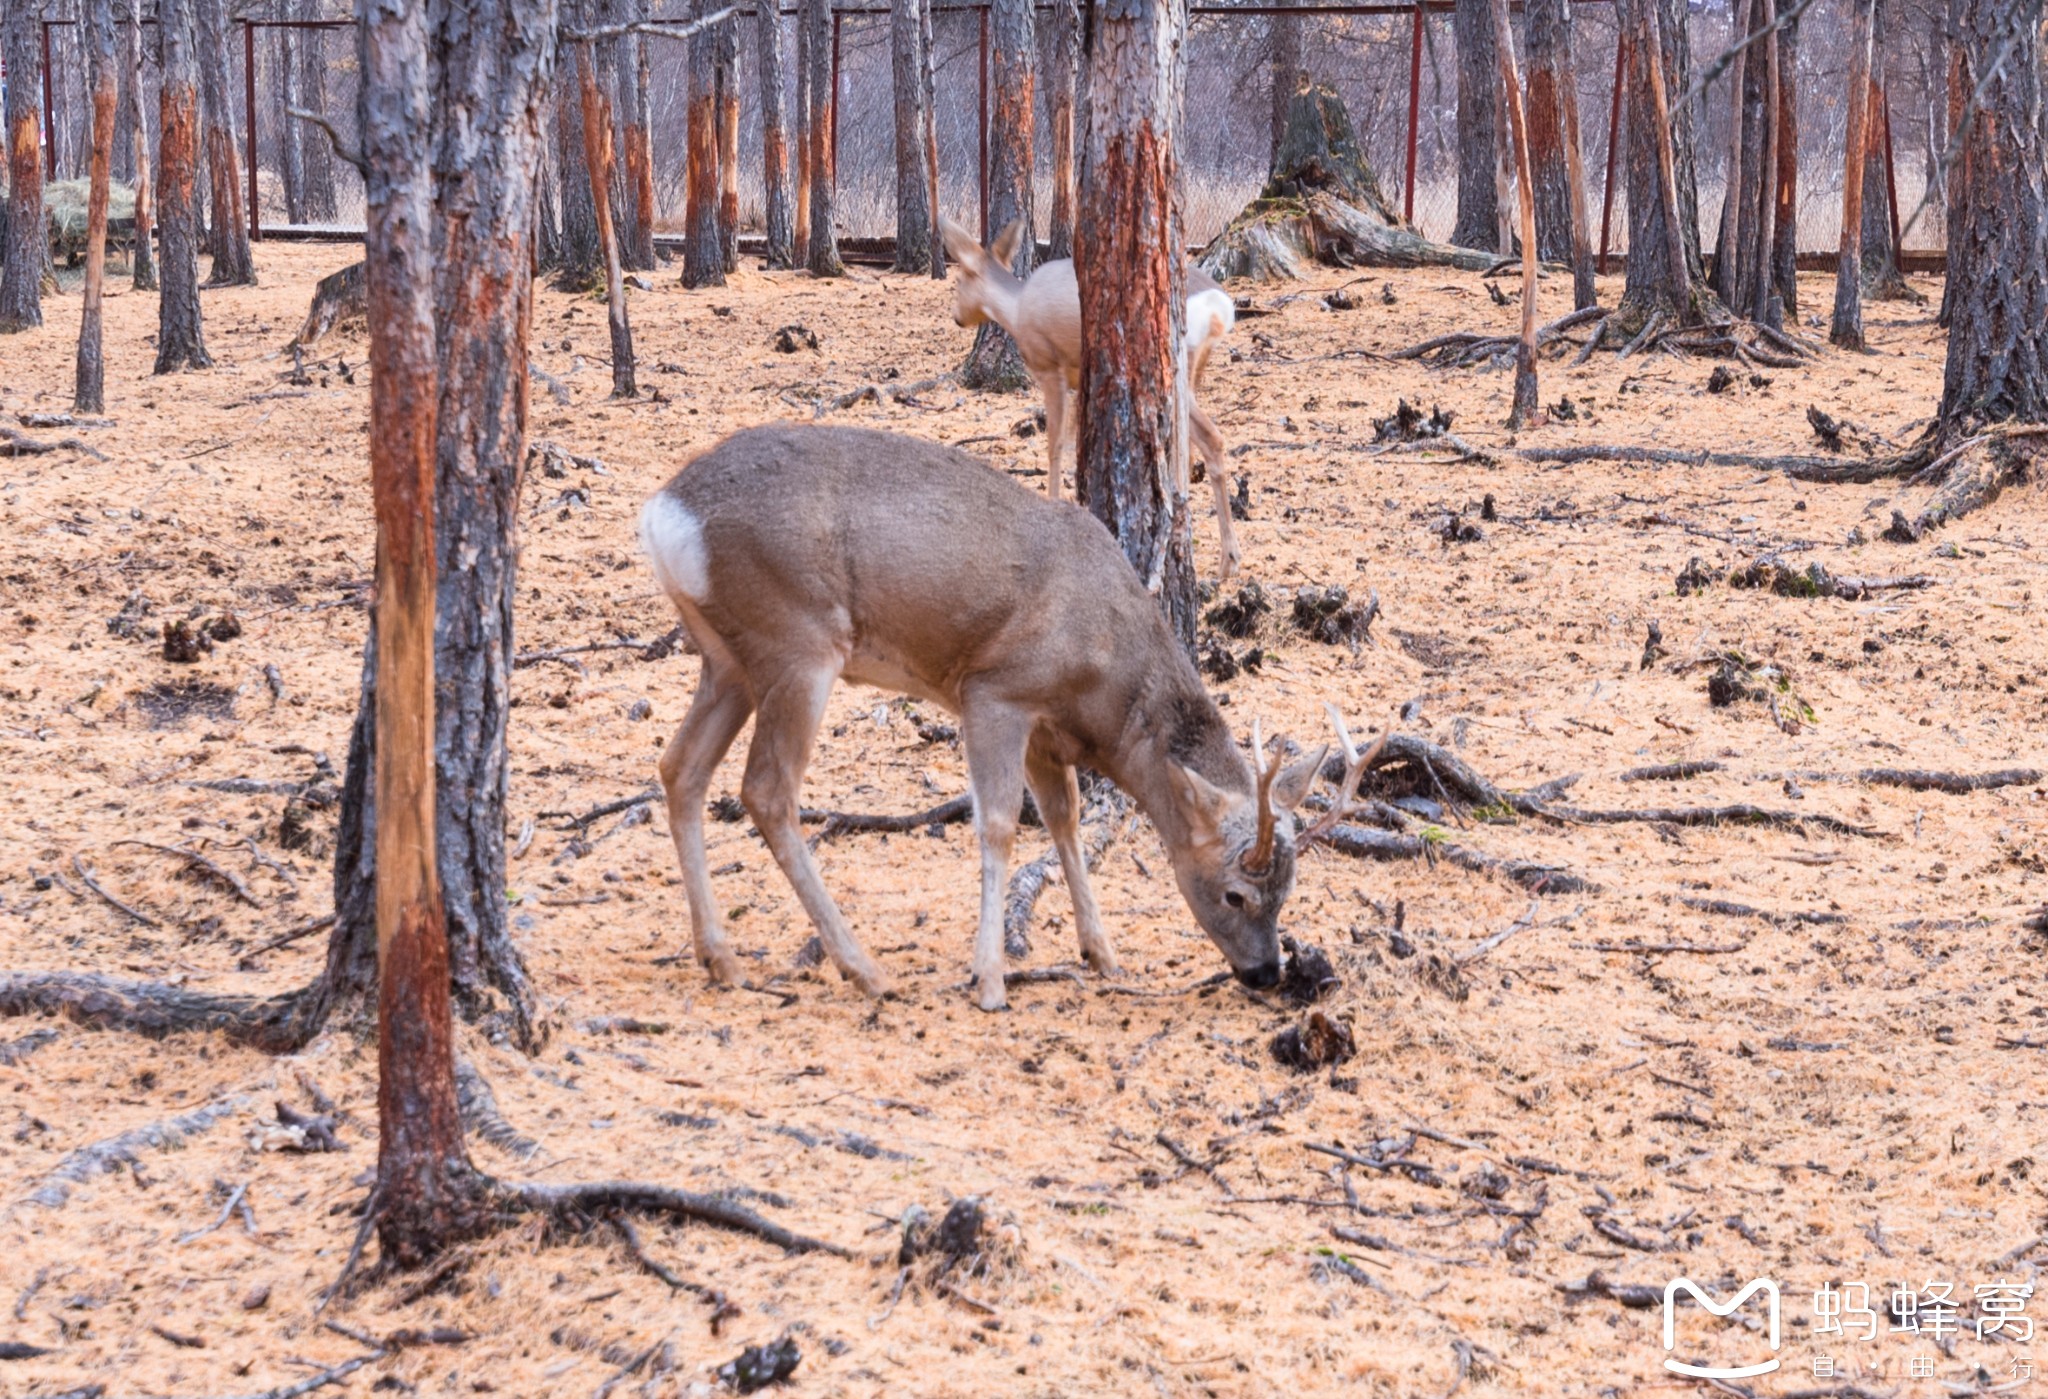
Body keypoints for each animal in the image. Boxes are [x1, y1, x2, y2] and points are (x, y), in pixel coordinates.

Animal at [643, 424, 1376, 1007]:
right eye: (1234, 895)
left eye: (1289, 892)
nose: (1267, 973)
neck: (1107, 686)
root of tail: (662, 514)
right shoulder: (996, 691)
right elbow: (996, 825)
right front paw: (990, 978)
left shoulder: (1047, 733)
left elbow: (1064, 822)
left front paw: (1101, 953)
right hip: (796, 640)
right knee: (766, 790)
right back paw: (863, 969)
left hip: (728, 660)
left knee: (680, 768)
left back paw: (722, 958)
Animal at [937, 223, 1236, 581]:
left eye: (958, 280)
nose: (956, 317)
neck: (1017, 308)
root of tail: (1218, 306)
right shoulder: (1081, 380)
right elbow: (1075, 445)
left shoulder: (1049, 367)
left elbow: (1054, 445)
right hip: (1195, 369)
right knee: (1196, 446)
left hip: (1177, 366)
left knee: (1211, 438)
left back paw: (1226, 560)